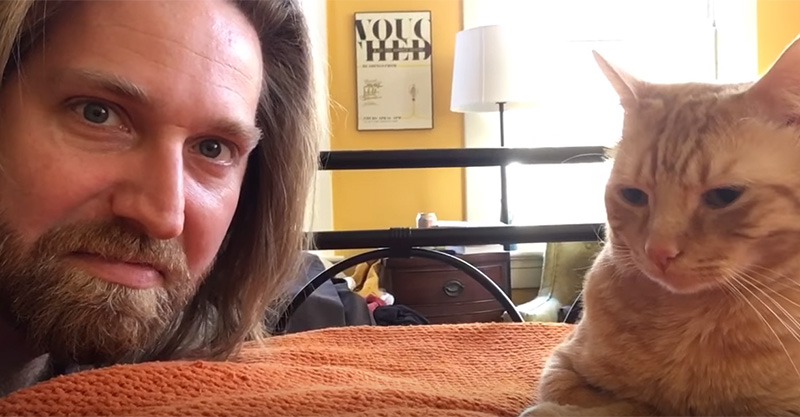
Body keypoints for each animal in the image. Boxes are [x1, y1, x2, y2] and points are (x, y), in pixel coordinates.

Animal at [521, 36, 800, 417]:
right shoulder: (562, 364)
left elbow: (637, 408)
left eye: (723, 196)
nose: (659, 251)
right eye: (634, 195)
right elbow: (619, 402)